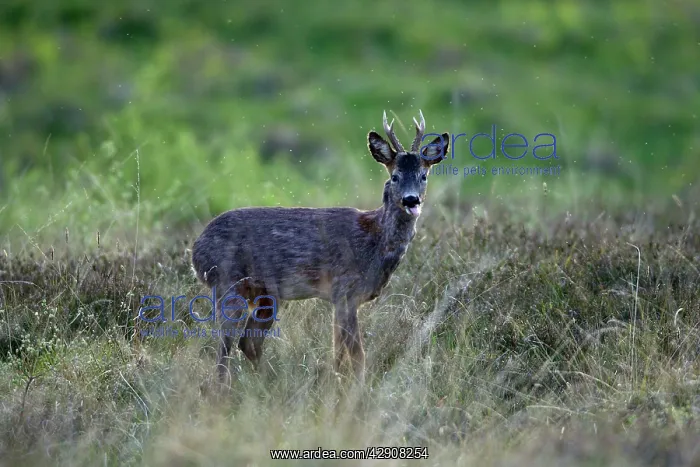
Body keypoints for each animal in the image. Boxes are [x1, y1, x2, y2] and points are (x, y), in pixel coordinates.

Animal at [191, 111, 449, 385]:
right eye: (394, 176)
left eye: (424, 176)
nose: (411, 200)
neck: (374, 242)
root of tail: (196, 251)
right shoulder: (345, 290)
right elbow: (357, 355)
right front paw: (358, 388)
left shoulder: (343, 298)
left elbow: (339, 352)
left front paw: (334, 382)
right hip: (228, 282)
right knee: (225, 345)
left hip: (266, 295)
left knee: (248, 342)